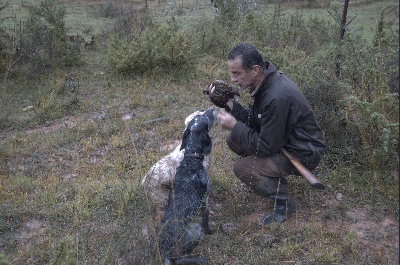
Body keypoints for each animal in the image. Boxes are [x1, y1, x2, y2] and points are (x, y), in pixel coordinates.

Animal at [159, 106, 216, 264]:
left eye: (197, 117)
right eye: (205, 118)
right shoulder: (205, 201)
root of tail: (164, 250)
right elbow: (206, 220)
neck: (191, 160)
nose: (212, 108)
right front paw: (211, 232)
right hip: (194, 232)